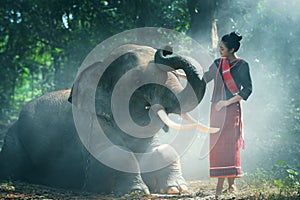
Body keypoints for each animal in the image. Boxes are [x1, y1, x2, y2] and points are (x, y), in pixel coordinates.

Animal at [0, 43, 217, 195]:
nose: (165, 51)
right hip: (13, 140)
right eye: (137, 80)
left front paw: (176, 189)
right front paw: (136, 192)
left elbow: (163, 150)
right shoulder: (91, 122)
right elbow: (115, 153)